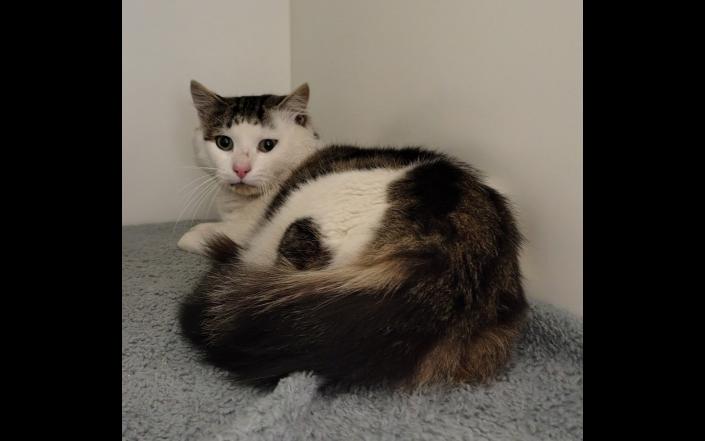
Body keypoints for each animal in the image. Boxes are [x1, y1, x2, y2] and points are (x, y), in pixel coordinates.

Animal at [179, 80, 529, 390]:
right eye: (224, 143)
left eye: (267, 145)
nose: (240, 169)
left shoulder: (247, 230)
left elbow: (208, 232)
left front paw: (191, 235)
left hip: (301, 223)